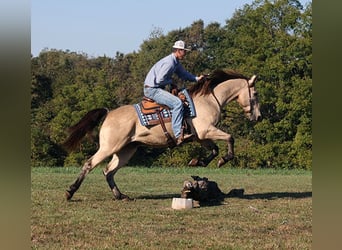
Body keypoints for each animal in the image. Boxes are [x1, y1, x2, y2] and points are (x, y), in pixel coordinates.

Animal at [63, 69, 262, 200]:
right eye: (255, 94)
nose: (259, 117)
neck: (209, 100)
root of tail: (109, 113)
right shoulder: (207, 130)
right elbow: (229, 138)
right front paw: (223, 160)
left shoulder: (201, 137)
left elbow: (213, 151)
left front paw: (197, 162)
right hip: (109, 147)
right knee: (90, 164)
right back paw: (70, 191)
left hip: (126, 150)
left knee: (109, 171)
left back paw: (120, 196)